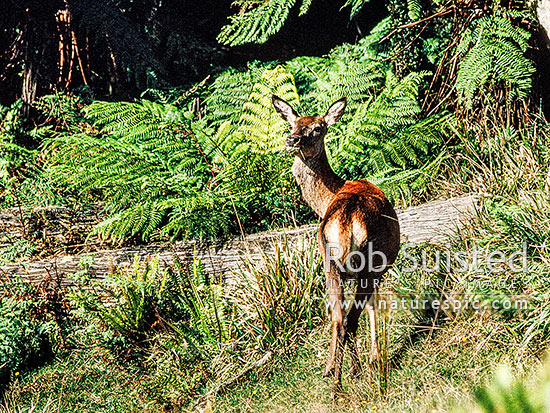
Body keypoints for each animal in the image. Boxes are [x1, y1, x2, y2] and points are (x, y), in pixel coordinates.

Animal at [274, 94, 404, 396]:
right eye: (293, 123)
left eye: (317, 128)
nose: (292, 139)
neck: (325, 199)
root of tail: (345, 222)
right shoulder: (377, 269)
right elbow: (372, 307)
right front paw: (373, 359)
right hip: (368, 262)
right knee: (349, 319)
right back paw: (346, 382)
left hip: (330, 263)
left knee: (338, 317)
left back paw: (337, 378)